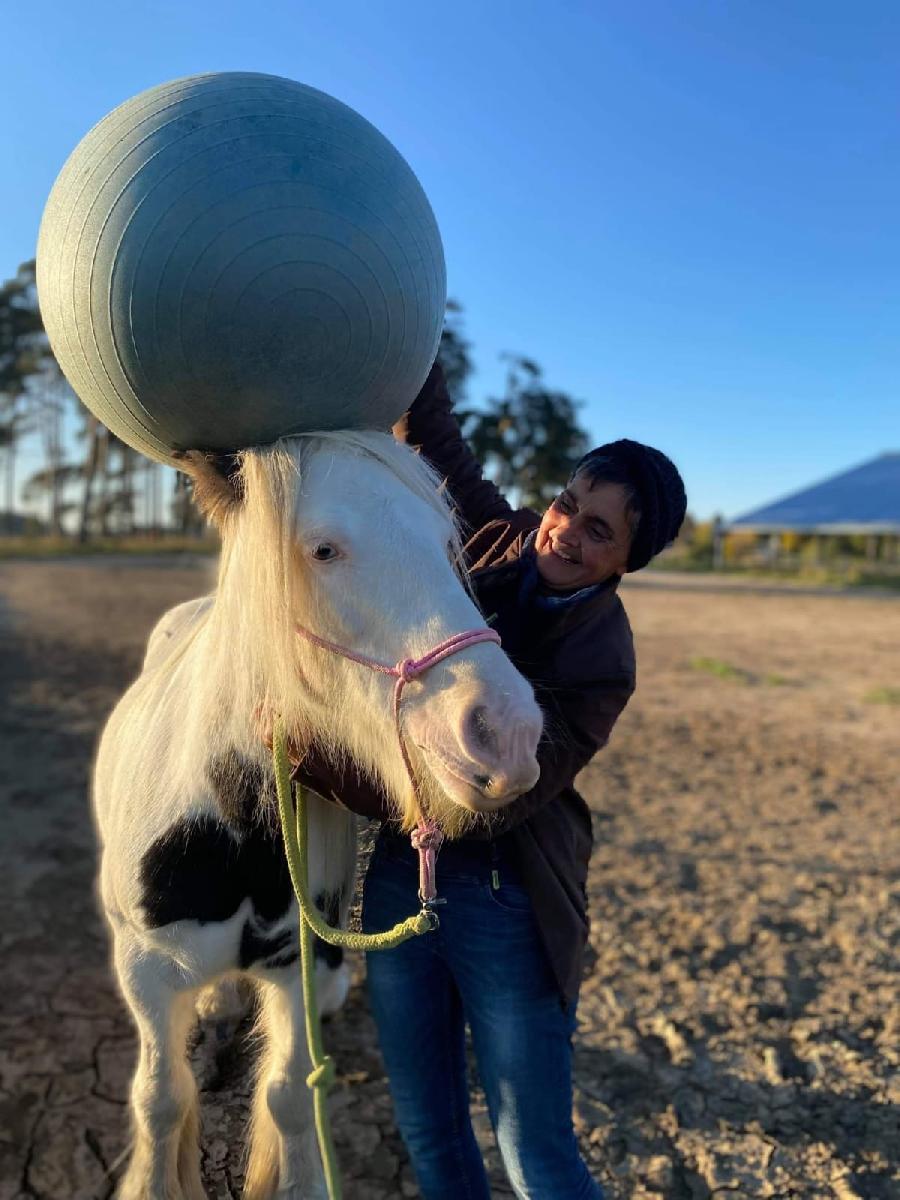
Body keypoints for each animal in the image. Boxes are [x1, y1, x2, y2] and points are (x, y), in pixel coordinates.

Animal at [91, 432, 542, 1200]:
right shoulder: (142, 969)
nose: (506, 735)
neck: (225, 829)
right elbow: (161, 1097)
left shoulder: (296, 965)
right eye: (323, 549)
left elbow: (289, 1096)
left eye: (445, 543)